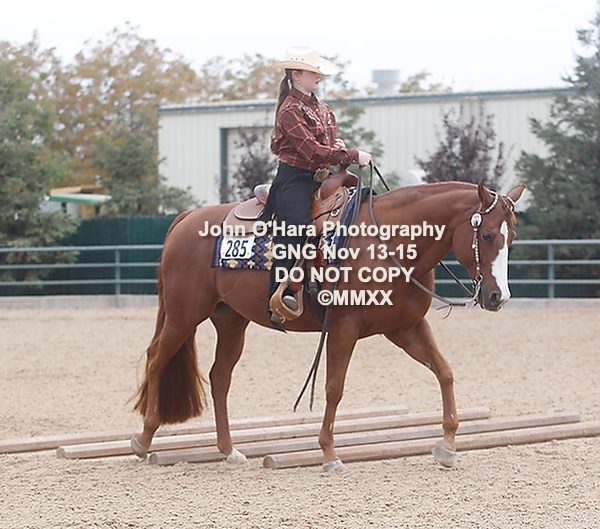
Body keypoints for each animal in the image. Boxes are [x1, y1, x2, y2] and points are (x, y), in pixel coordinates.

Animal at [131, 180, 526, 470]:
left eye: (512, 237)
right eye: (487, 235)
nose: (498, 296)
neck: (389, 242)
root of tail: (186, 219)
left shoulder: (407, 327)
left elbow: (444, 372)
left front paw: (447, 445)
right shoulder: (344, 329)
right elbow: (334, 388)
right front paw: (329, 453)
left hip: (230, 320)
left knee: (219, 377)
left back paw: (229, 451)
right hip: (184, 314)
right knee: (157, 359)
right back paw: (144, 439)